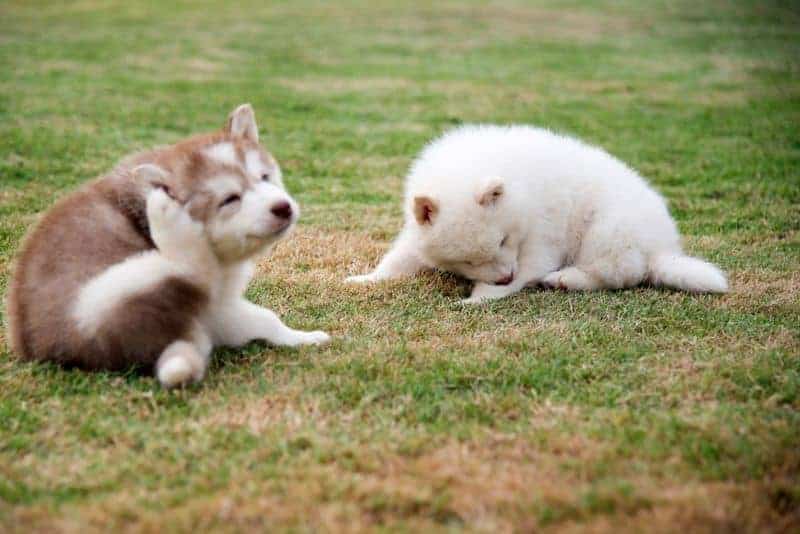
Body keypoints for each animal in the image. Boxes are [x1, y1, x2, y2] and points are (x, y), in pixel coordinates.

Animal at [4, 104, 330, 390]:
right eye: (229, 199)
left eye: (265, 177)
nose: (283, 208)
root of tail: (37, 347)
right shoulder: (212, 298)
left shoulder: (216, 307)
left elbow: (263, 319)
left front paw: (303, 337)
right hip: (103, 294)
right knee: (192, 269)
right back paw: (167, 215)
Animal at [346, 123, 728, 304]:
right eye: (468, 260)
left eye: (503, 241)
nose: (501, 277)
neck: (519, 193)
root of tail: (663, 250)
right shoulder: (417, 234)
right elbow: (397, 260)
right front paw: (366, 279)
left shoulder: (543, 235)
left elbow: (526, 269)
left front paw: (479, 299)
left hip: (607, 230)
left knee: (619, 273)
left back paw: (565, 279)